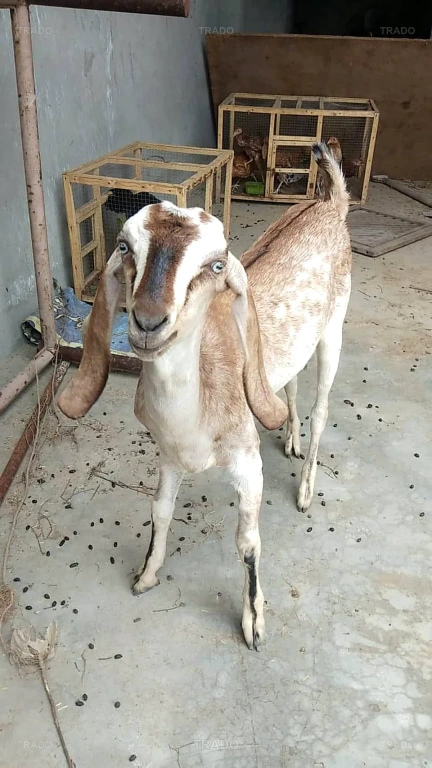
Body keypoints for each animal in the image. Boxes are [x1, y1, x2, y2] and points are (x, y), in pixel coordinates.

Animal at [57, 143, 352, 651]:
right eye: (124, 246)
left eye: (216, 264)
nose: (148, 322)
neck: (194, 416)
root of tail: (331, 203)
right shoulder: (168, 455)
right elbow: (160, 511)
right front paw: (146, 575)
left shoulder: (247, 462)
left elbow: (248, 543)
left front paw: (254, 622)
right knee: (290, 386)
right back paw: (289, 436)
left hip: (333, 331)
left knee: (323, 408)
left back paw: (306, 489)